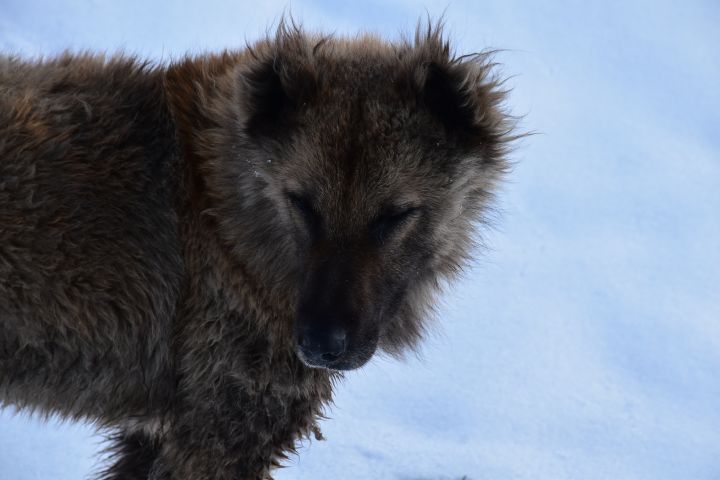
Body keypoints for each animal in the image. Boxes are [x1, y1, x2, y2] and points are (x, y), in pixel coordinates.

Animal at [0, 21, 513, 479]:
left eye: (394, 215)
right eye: (301, 202)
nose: (320, 345)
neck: (220, 211)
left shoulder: (160, 437)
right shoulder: (221, 430)